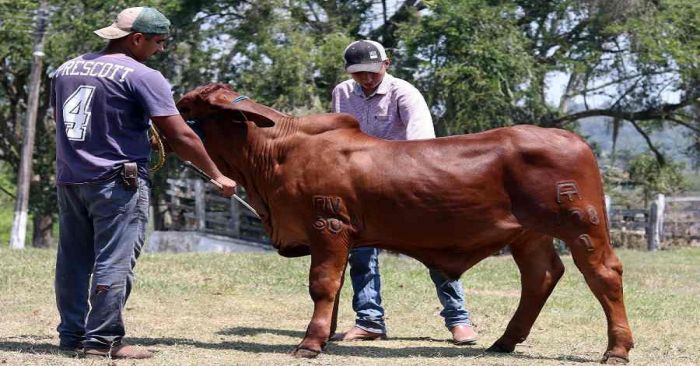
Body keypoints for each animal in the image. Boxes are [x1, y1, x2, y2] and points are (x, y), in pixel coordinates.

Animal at [175, 83, 636, 364]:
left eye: (187, 106)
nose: (169, 112)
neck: (274, 157)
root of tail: (571, 138)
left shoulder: (328, 226)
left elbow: (322, 284)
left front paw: (308, 343)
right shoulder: (337, 237)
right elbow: (335, 289)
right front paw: (326, 336)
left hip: (582, 225)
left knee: (603, 274)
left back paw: (617, 349)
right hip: (529, 235)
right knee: (541, 276)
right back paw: (504, 341)